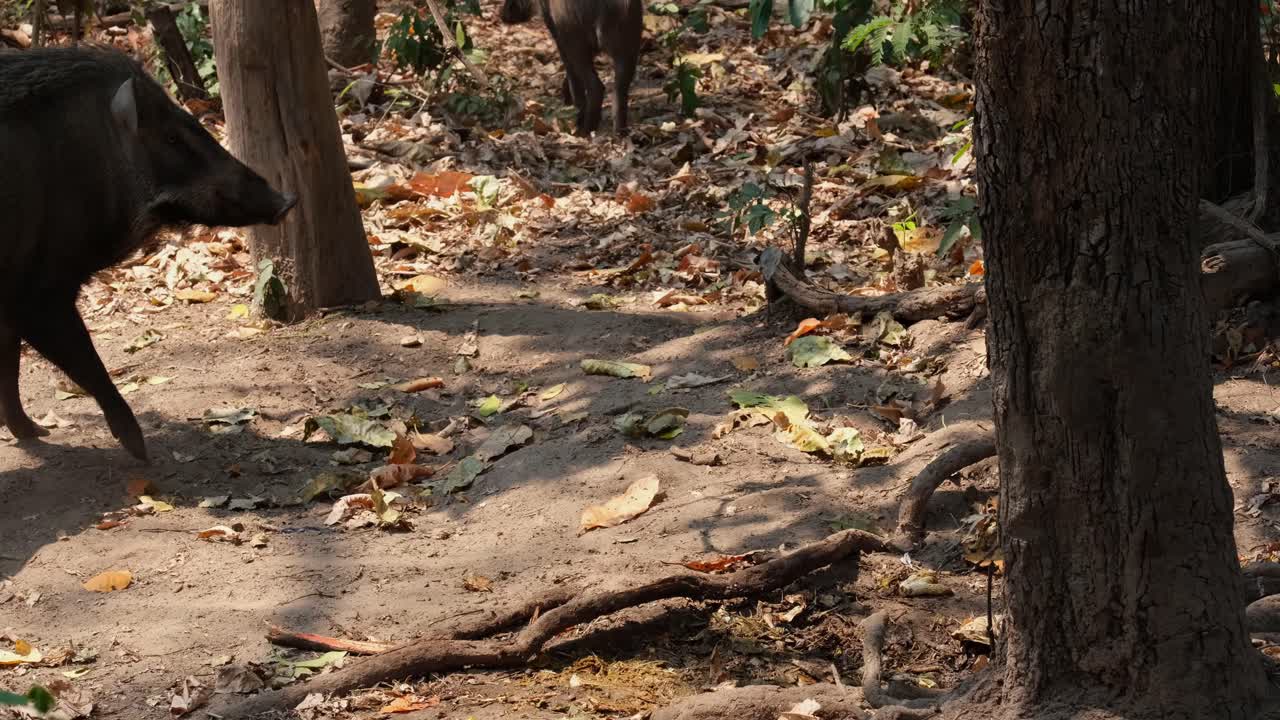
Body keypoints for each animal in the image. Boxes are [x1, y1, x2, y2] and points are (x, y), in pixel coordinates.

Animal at [0, 47, 297, 461]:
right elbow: (86, 360)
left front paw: (35, 433)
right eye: (170, 137)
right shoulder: (38, 296)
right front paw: (140, 451)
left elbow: (9, 362)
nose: (287, 201)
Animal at [499, 0, 643, 135]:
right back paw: (620, 132)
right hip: (628, 49)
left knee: (595, 86)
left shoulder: (559, 36)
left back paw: (585, 130)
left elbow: (573, 79)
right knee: (620, 91)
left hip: (576, 44)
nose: (503, 15)